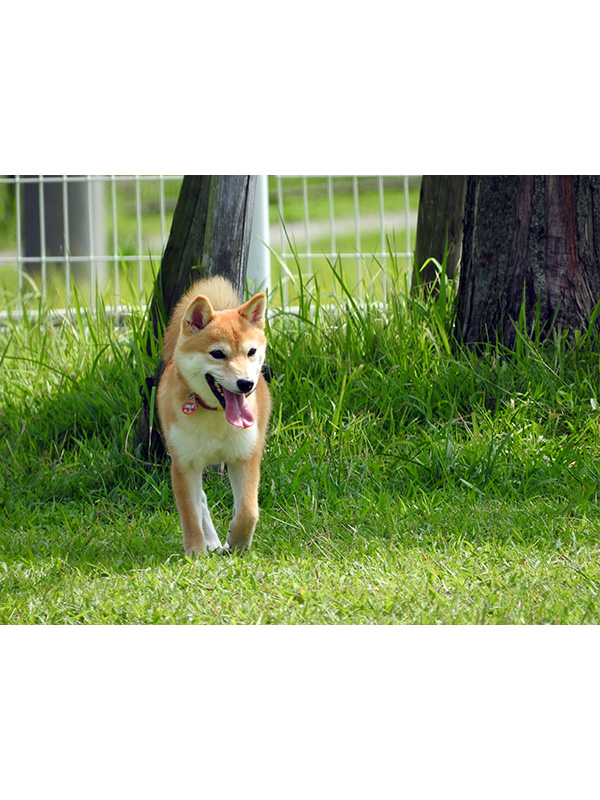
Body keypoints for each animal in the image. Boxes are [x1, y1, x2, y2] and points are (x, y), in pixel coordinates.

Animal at [158, 276, 274, 556]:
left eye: (251, 352)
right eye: (217, 354)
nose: (246, 384)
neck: (217, 417)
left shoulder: (245, 457)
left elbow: (248, 510)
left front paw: (238, 542)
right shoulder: (184, 464)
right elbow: (190, 514)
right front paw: (196, 552)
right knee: (200, 499)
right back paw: (210, 541)